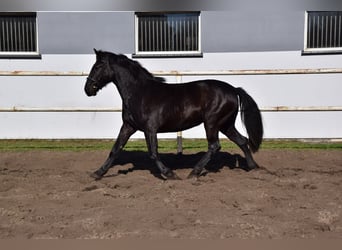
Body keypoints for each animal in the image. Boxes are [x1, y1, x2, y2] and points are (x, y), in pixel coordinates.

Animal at [84, 49, 264, 180]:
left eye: (98, 66)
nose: (87, 89)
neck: (139, 93)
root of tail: (233, 89)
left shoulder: (150, 129)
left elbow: (153, 153)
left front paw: (170, 174)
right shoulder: (128, 126)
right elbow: (115, 149)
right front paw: (98, 173)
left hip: (212, 123)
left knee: (214, 146)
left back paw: (194, 172)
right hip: (226, 125)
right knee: (242, 141)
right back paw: (253, 167)